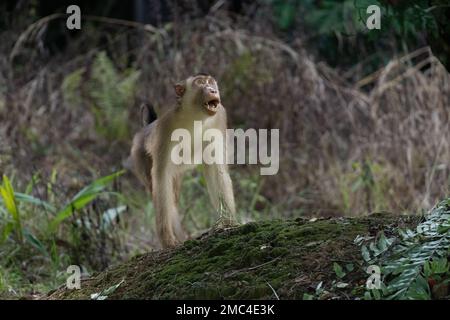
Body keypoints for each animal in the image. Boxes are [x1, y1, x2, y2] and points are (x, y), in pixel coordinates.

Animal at [128, 74, 237, 248]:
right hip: (139, 155)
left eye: (211, 82)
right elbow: (161, 175)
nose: (213, 90)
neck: (196, 116)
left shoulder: (219, 117)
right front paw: (167, 240)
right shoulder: (166, 126)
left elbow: (217, 170)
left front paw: (228, 223)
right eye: (200, 82)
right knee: (162, 190)